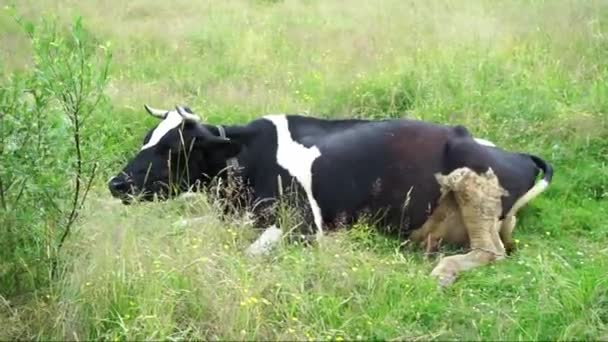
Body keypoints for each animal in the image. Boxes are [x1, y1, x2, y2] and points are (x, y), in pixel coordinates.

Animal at [107, 105, 552, 288]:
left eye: (173, 149)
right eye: (147, 138)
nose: (116, 184)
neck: (245, 158)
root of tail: (516, 154)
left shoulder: (302, 225)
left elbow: (247, 255)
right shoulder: (233, 216)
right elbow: (184, 224)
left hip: (472, 178)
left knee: (492, 250)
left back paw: (444, 271)